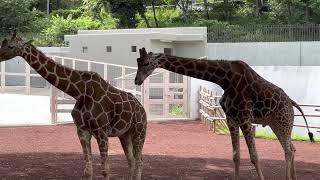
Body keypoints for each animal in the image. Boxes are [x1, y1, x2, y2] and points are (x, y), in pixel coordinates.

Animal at [0, 33, 148, 179]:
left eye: (11, 46)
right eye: (3, 43)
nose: (0, 55)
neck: (80, 92)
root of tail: (142, 109)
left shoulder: (101, 131)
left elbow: (106, 170)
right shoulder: (82, 131)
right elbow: (88, 171)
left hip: (139, 131)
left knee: (139, 161)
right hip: (124, 134)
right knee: (132, 162)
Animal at [134, 47, 314, 179]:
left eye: (147, 63)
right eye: (138, 62)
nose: (137, 81)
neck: (224, 79)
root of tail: (291, 102)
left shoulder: (245, 117)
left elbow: (254, 156)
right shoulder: (231, 118)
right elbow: (236, 156)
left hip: (284, 120)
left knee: (288, 150)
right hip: (275, 123)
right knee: (292, 148)